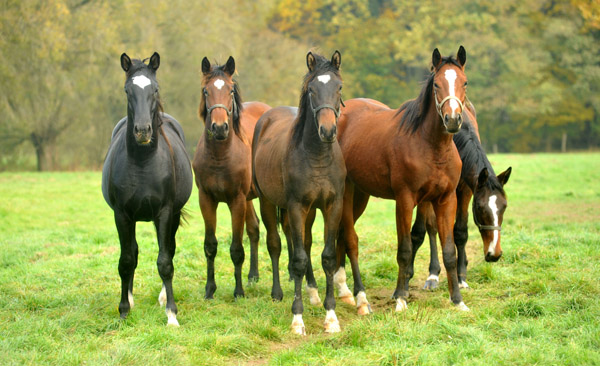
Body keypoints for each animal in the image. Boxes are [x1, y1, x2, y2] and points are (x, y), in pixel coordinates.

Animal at [102, 52, 193, 326]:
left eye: (155, 89)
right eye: (127, 90)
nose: (142, 131)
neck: (143, 161)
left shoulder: (165, 212)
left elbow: (165, 261)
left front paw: (172, 314)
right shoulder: (121, 215)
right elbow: (125, 260)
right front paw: (123, 310)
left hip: (172, 216)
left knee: (169, 249)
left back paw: (163, 298)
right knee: (132, 252)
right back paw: (131, 299)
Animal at [192, 55, 270, 298]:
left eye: (231, 90)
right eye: (205, 90)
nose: (219, 128)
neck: (220, 156)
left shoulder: (236, 201)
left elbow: (236, 248)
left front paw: (238, 292)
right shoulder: (206, 200)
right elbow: (210, 245)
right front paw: (209, 289)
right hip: (249, 198)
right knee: (254, 229)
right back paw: (253, 275)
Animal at [253, 50, 346, 334]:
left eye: (339, 87)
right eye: (312, 90)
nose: (327, 131)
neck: (317, 156)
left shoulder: (332, 206)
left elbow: (327, 256)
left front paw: (331, 316)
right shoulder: (296, 207)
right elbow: (299, 258)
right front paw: (297, 318)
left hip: (310, 211)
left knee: (303, 242)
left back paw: (312, 292)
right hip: (267, 202)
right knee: (276, 244)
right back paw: (277, 293)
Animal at [336, 46, 472, 314]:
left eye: (464, 82)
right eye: (437, 84)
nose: (452, 120)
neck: (431, 146)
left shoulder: (446, 199)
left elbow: (449, 251)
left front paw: (457, 300)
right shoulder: (405, 199)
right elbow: (405, 249)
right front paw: (400, 297)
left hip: (361, 196)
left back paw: (341, 289)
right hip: (346, 194)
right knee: (350, 240)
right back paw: (360, 298)